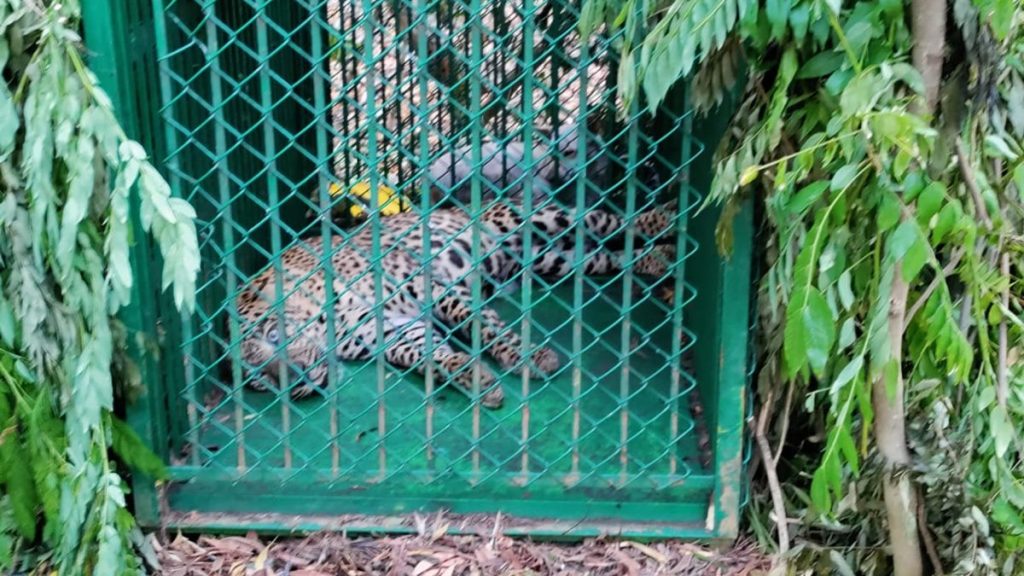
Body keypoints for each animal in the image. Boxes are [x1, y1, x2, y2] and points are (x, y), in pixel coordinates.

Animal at [235, 199, 680, 409]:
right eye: (259, 380)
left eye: (273, 335)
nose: (295, 378)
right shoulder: (394, 330)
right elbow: (428, 354)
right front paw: (475, 378)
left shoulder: (431, 287)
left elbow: (482, 325)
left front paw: (528, 358)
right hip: (554, 260)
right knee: (608, 254)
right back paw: (659, 259)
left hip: (539, 220)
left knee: (610, 220)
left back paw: (666, 220)